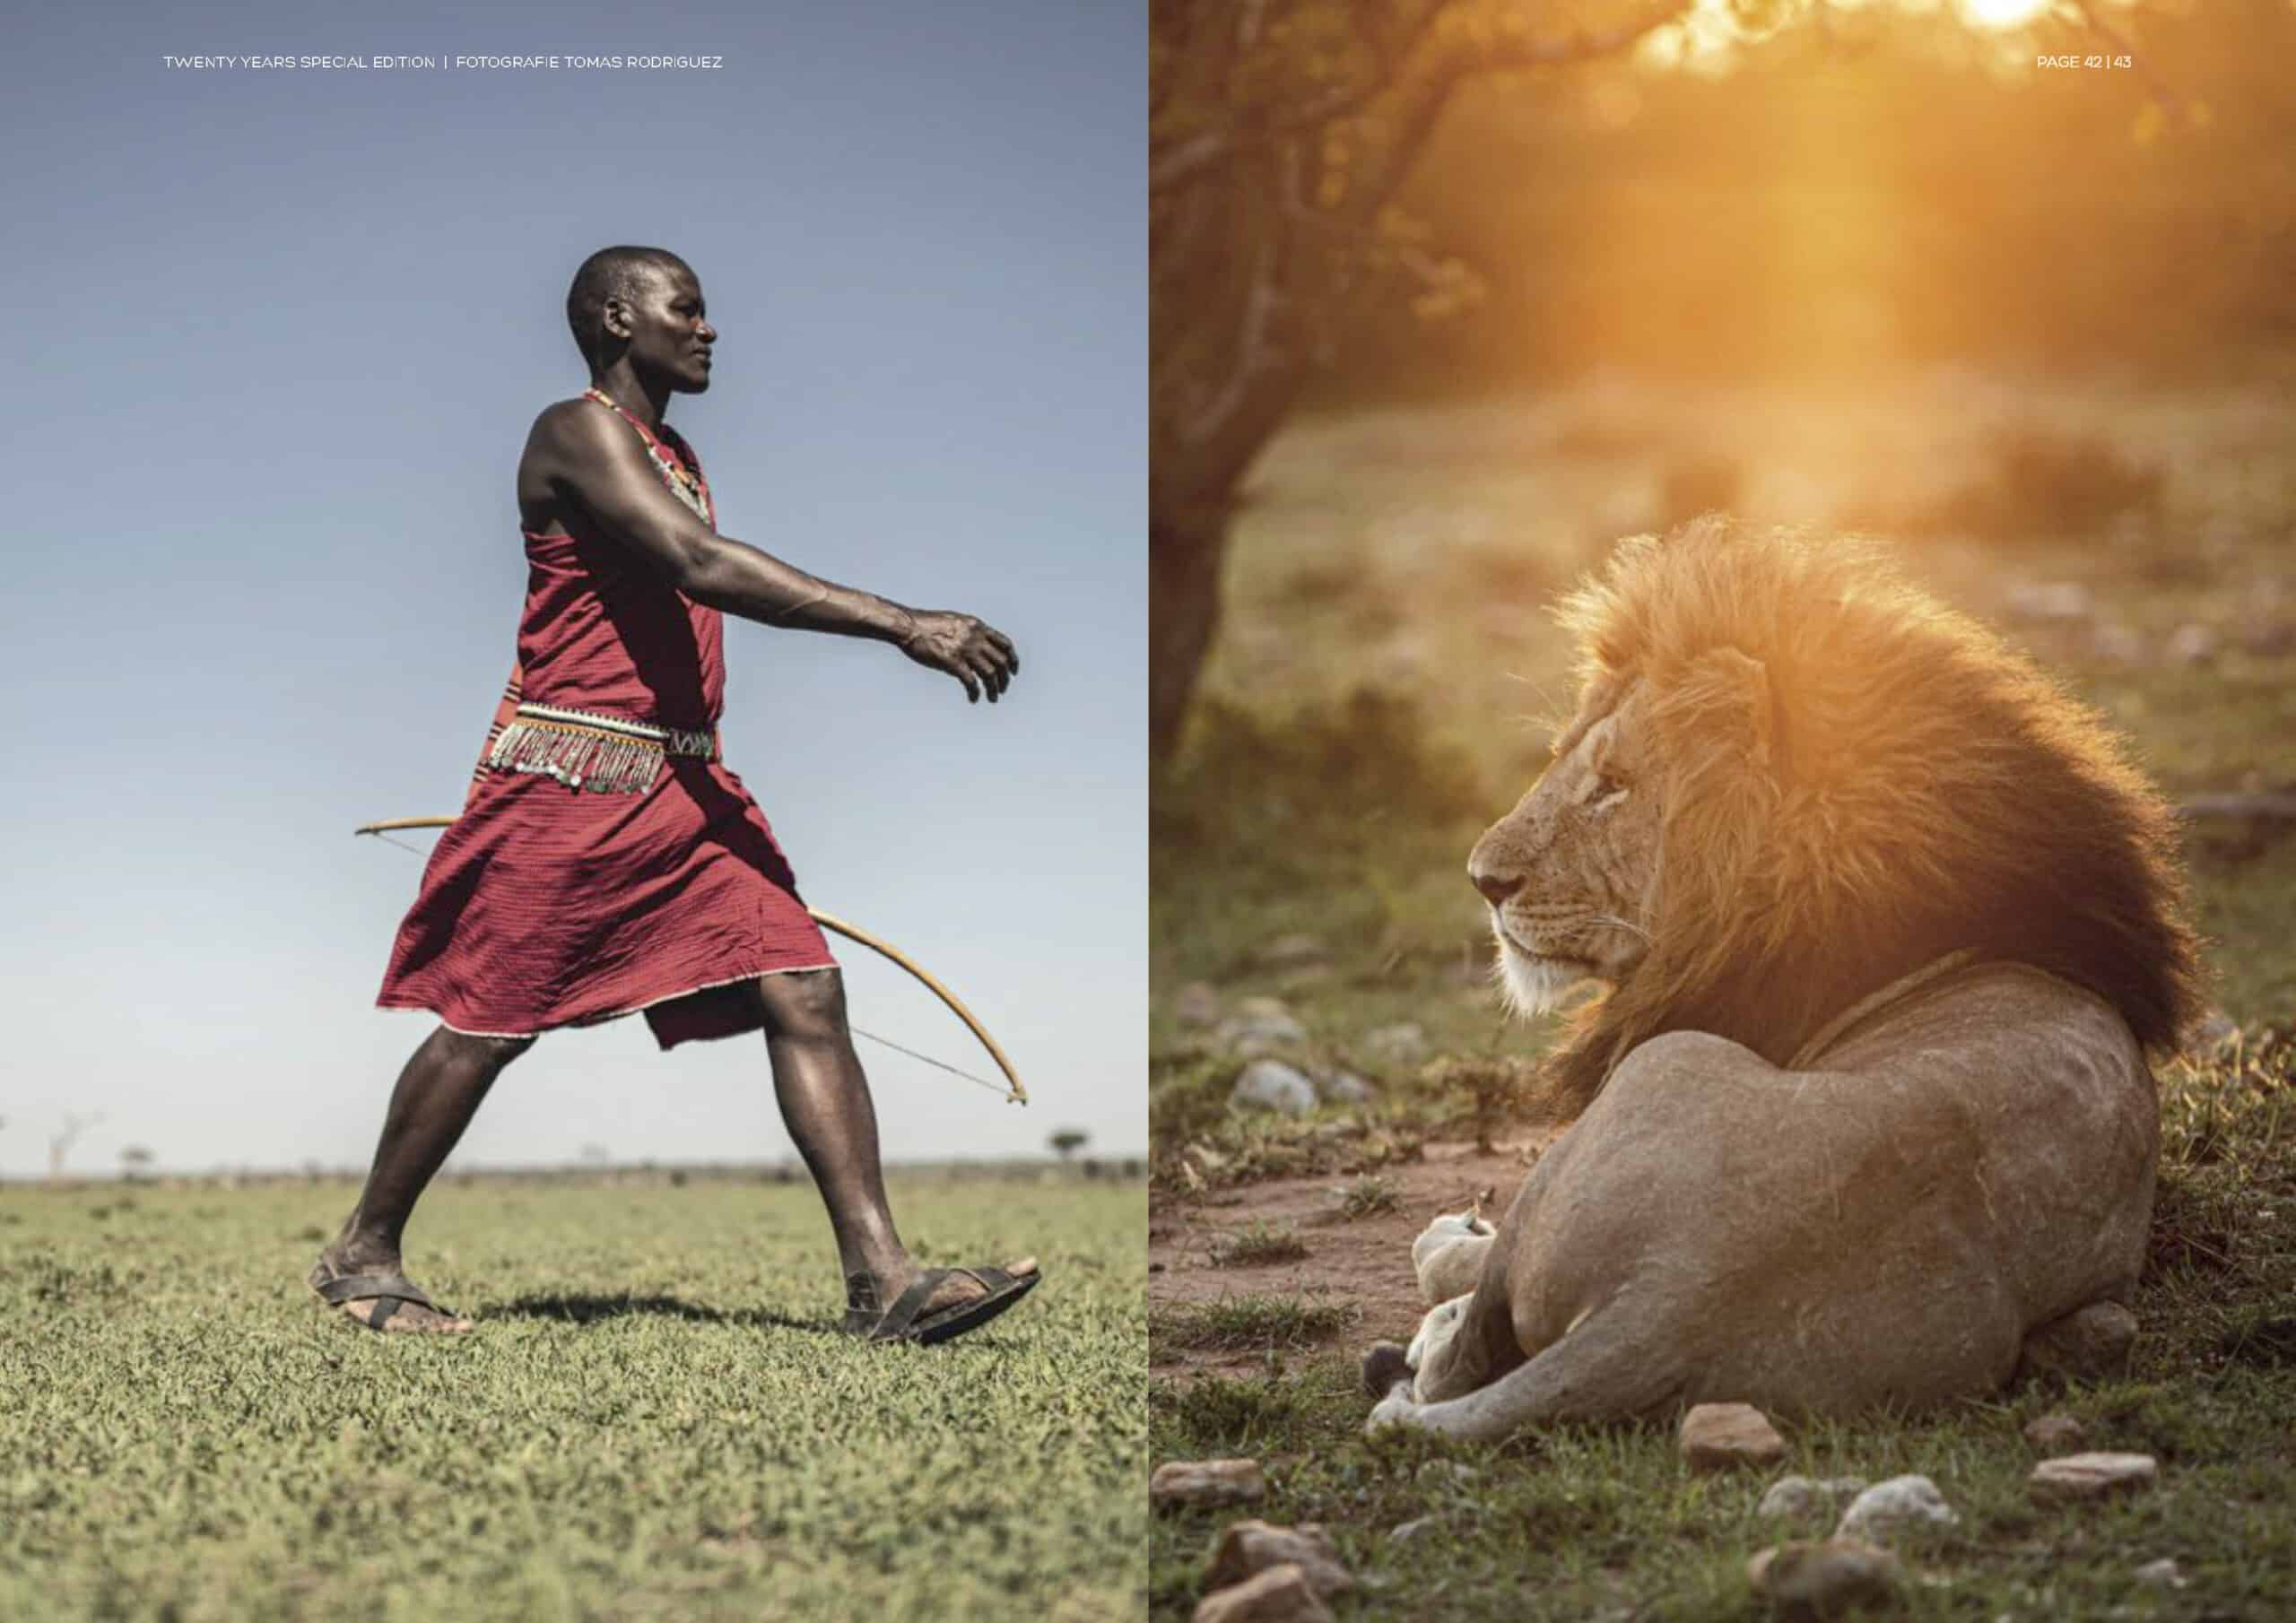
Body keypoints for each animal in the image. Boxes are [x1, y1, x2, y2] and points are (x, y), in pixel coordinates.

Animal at [1359, 521, 2204, 1450]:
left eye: (1611, 787)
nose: (1484, 881)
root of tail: (1669, 1297)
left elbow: (1455, 1259)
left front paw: (1449, 1235)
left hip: (1665, 1061)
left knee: (1457, 1358)